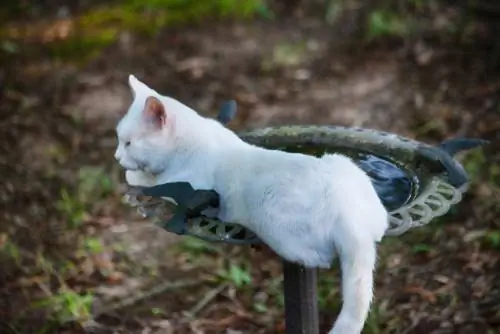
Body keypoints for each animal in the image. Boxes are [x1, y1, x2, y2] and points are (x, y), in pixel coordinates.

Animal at [115, 75, 388, 334]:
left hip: (281, 231)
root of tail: (350, 217)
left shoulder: (181, 185)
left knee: (315, 259)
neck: (196, 138)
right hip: (344, 165)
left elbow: (145, 179)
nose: (117, 157)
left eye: (128, 143)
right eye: (119, 139)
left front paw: (133, 176)